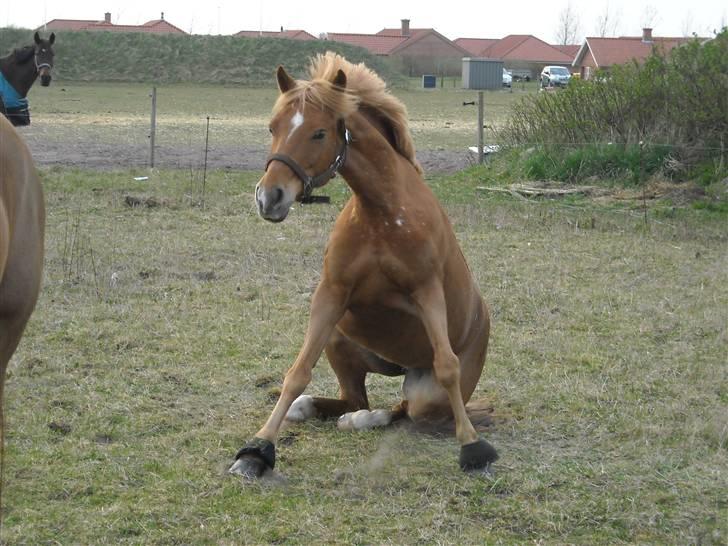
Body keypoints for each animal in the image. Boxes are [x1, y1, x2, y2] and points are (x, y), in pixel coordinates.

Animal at [229, 52, 498, 478]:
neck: (381, 214)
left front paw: (472, 446)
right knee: (356, 398)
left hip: (423, 392)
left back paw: (364, 420)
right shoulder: (332, 293)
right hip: (339, 340)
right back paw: (321, 410)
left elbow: (447, 365)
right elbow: (297, 372)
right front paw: (258, 449)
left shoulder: (427, 291)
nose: (269, 198)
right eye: (273, 127)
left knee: (405, 411)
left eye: (319, 133)